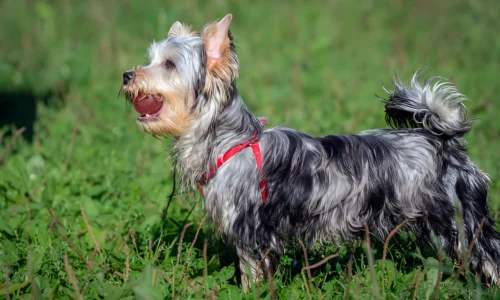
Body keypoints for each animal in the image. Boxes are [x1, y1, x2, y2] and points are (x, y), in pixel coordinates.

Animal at [121, 13, 500, 288]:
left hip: (454, 222)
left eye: (169, 65)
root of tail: (444, 141)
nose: (126, 74)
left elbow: (251, 276)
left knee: (486, 256)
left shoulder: (252, 233)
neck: (230, 141)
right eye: (150, 59)